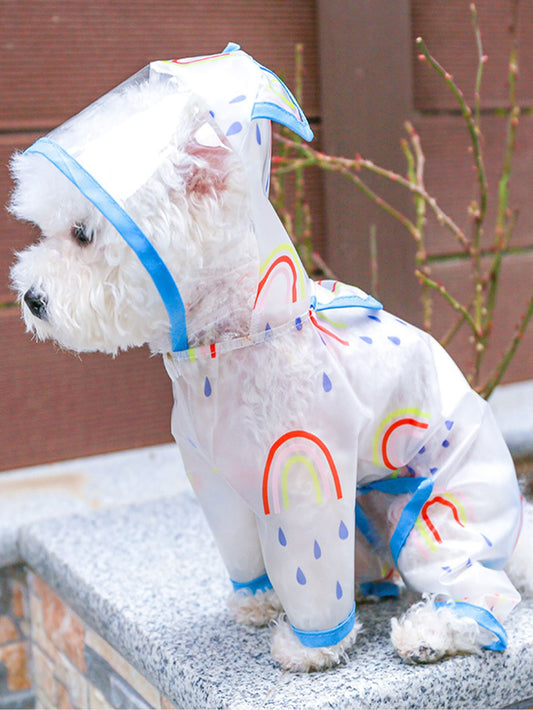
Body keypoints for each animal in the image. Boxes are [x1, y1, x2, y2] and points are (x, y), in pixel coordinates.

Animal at [8, 44, 532, 672]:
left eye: (83, 234)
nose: (31, 298)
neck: (234, 339)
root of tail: (518, 524)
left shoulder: (300, 472)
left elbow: (308, 563)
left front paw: (307, 648)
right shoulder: (212, 475)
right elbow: (244, 548)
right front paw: (257, 603)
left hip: (446, 514)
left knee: (482, 592)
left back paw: (428, 630)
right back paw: (367, 591)